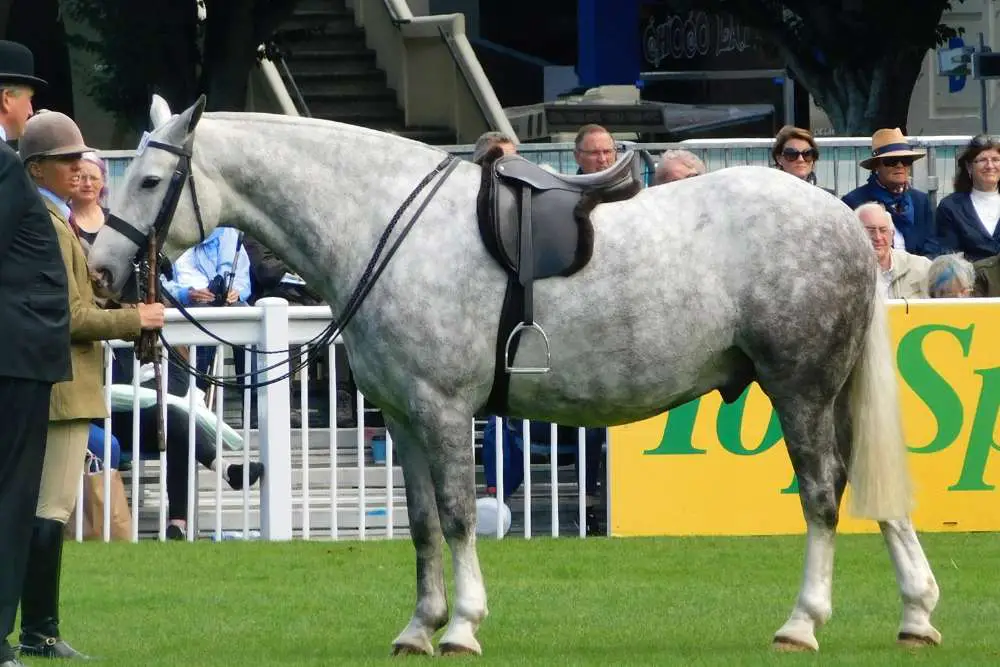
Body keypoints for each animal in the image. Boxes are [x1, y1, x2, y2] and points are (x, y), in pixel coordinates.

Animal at [84, 94, 936, 656]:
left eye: (151, 181)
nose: (100, 269)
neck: (389, 225)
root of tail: (840, 220)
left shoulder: (443, 411)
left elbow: (460, 516)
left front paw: (461, 626)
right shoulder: (404, 419)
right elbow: (423, 523)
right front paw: (419, 626)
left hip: (800, 388)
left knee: (823, 493)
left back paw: (803, 620)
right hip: (830, 391)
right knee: (868, 488)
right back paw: (916, 612)